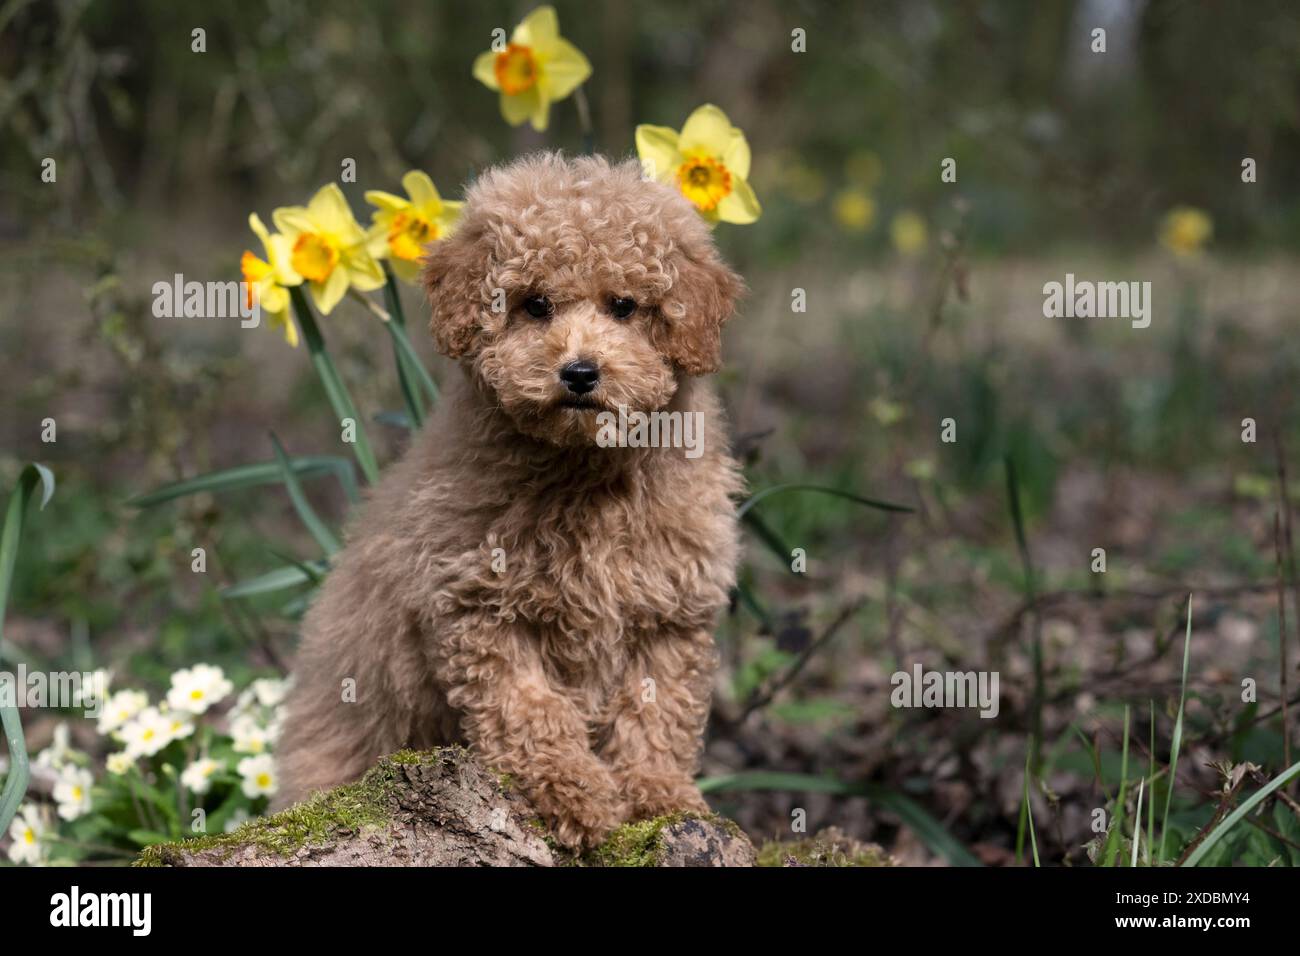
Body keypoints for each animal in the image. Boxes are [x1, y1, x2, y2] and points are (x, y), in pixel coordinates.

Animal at [276, 153, 743, 848]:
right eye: (536, 304)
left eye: (625, 306)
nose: (579, 372)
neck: (581, 470)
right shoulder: (480, 607)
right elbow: (529, 709)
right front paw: (571, 793)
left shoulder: (669, 613)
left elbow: (656, 714)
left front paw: (660, 797)